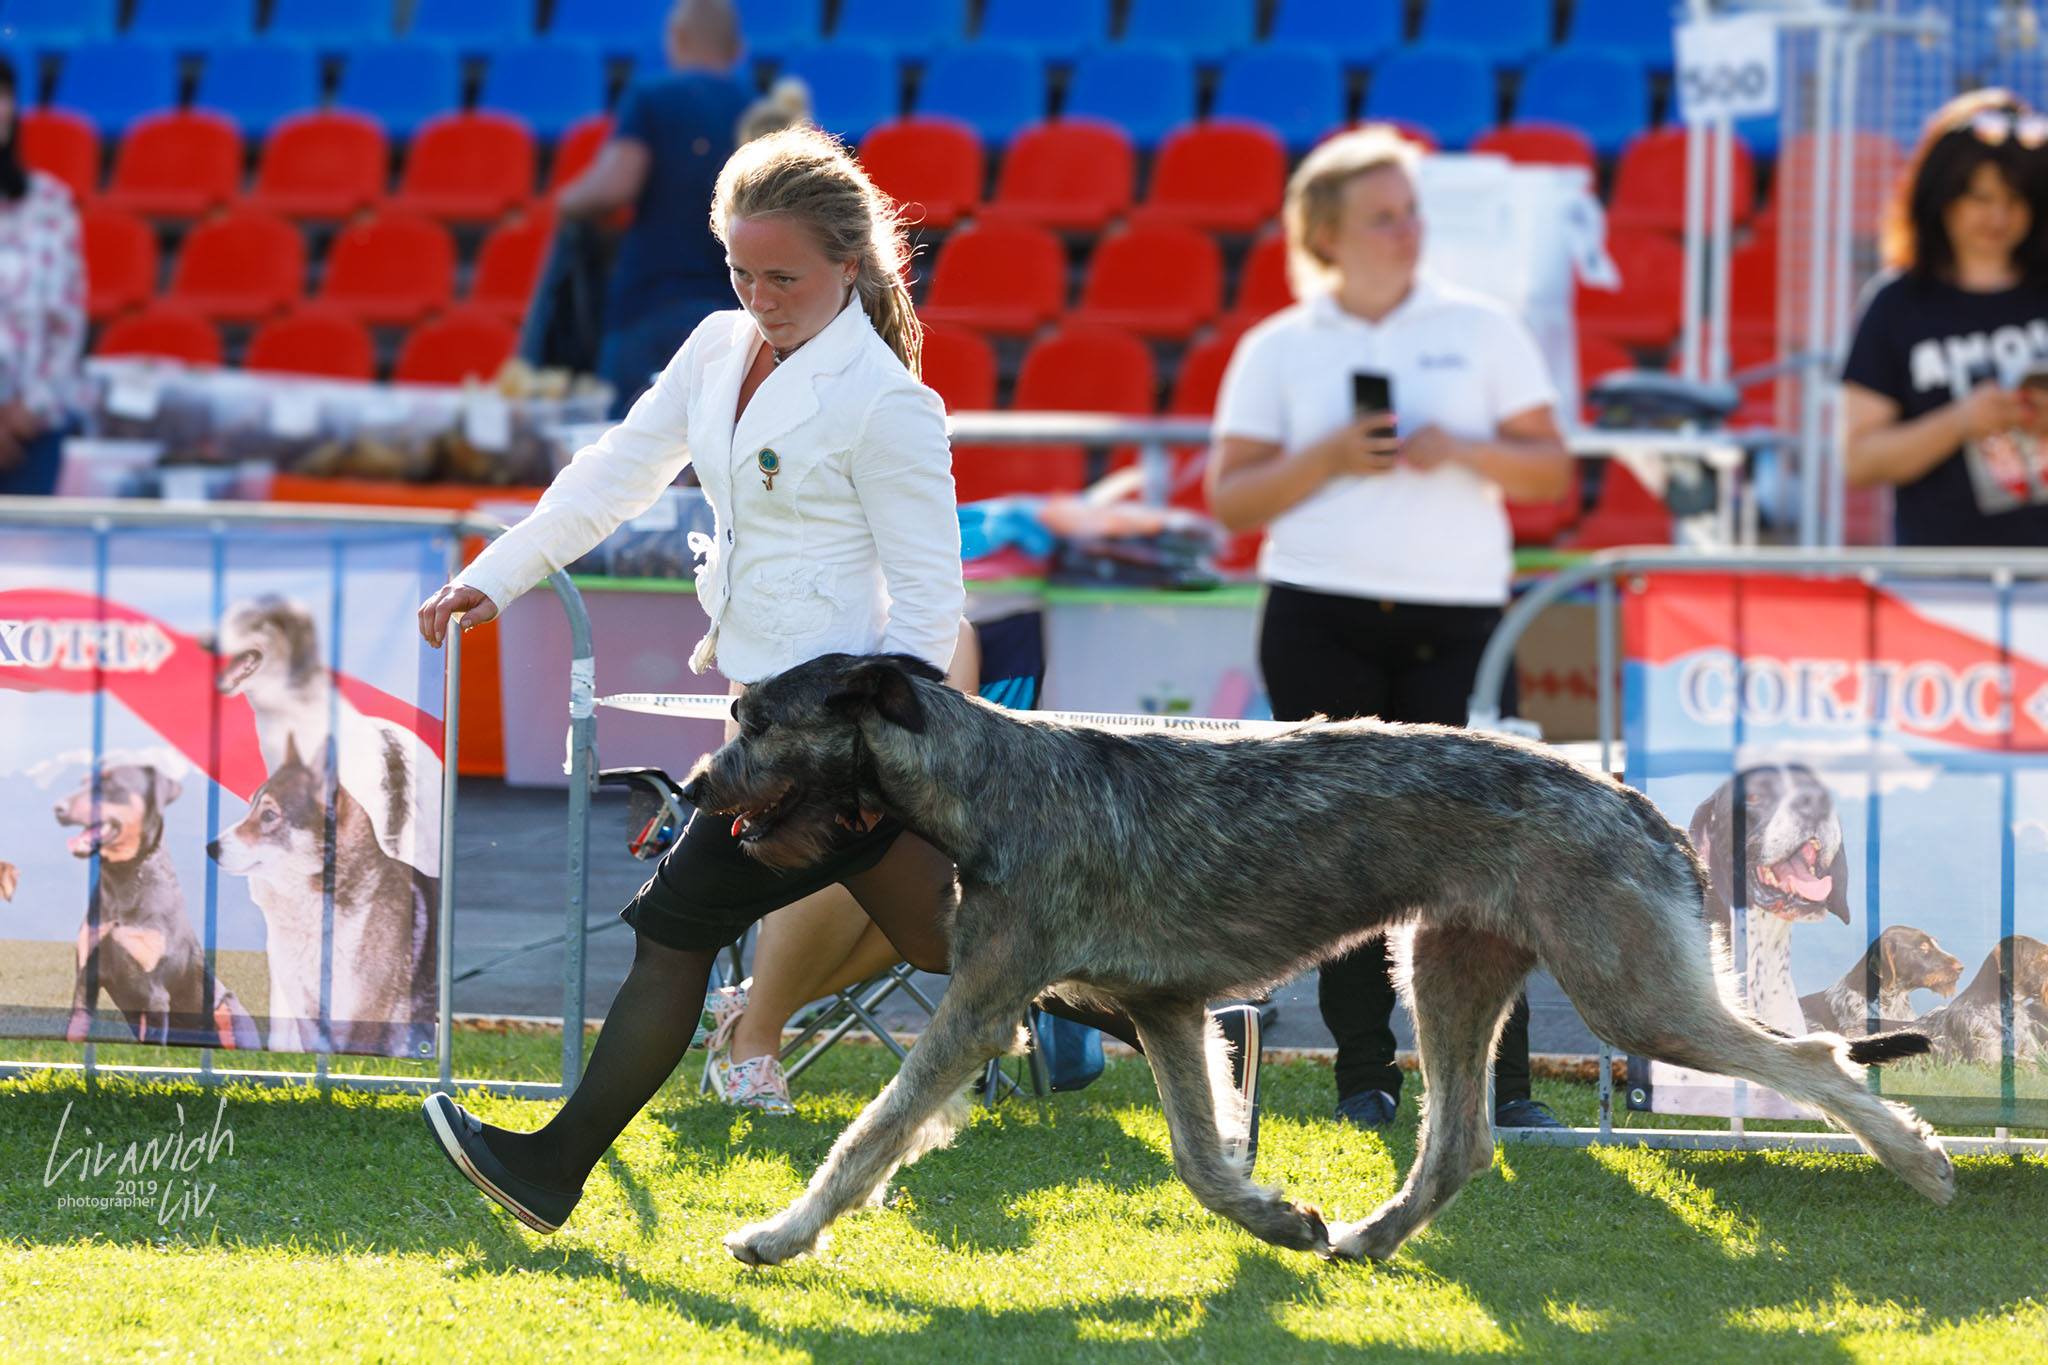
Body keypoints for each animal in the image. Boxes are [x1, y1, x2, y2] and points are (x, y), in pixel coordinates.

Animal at [684, 654, 1949, 1268]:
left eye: (754, 718)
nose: (690, 788)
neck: (985, 780)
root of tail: (1629, 799)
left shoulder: (981, 1007)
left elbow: (869, 1135)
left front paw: (778, 1237)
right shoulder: (1165, 1012)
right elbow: (1200, 1159)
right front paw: (1273, 1219)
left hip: (1630, 997)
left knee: (1814, 1059)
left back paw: (1920, 1159)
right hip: (1442, 972)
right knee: (1458, 1143)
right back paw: (1367, 1237)